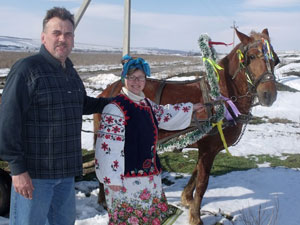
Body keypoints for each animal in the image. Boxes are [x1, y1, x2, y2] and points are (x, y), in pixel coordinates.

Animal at [92, 28, 278, 225]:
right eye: (251, 57)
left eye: (275, 59)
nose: (269, 95)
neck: (220, 96)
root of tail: (107, 90)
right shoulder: (208, 148)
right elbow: (203, 182)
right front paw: (196, 217)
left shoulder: (206, 148)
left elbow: (196, 174)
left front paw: (187, 198)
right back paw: (104, 199)